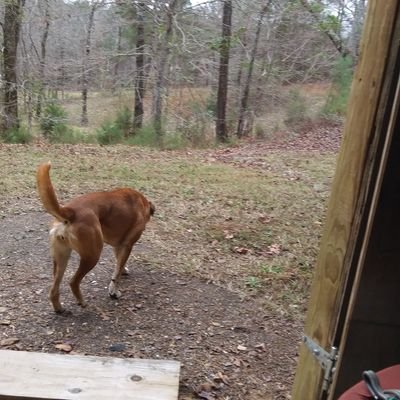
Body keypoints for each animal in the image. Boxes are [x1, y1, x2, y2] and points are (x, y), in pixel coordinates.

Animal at [36, 162, 155, 312]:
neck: (141, 202)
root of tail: (71, 211)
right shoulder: (127, 245)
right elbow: (117, 272)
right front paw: (114, 291)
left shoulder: (119, 245)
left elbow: (119, 264)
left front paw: (123, 271)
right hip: (92, 256)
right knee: (73, 282)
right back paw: (82, 302)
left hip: (61, 259)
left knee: (53, 290)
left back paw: (59, 309)